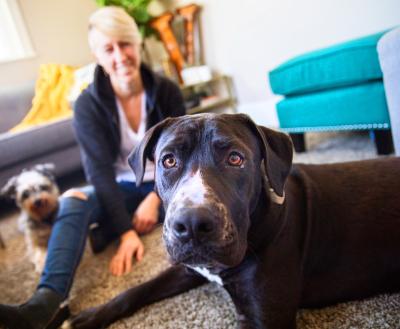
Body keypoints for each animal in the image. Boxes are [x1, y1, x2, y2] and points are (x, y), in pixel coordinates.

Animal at [69, 113, 400, 328]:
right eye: (169, 160)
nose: (192, 224)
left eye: (235, 158)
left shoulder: (264, 317)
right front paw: (90, 315)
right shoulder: (190, 268)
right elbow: (138, 289)